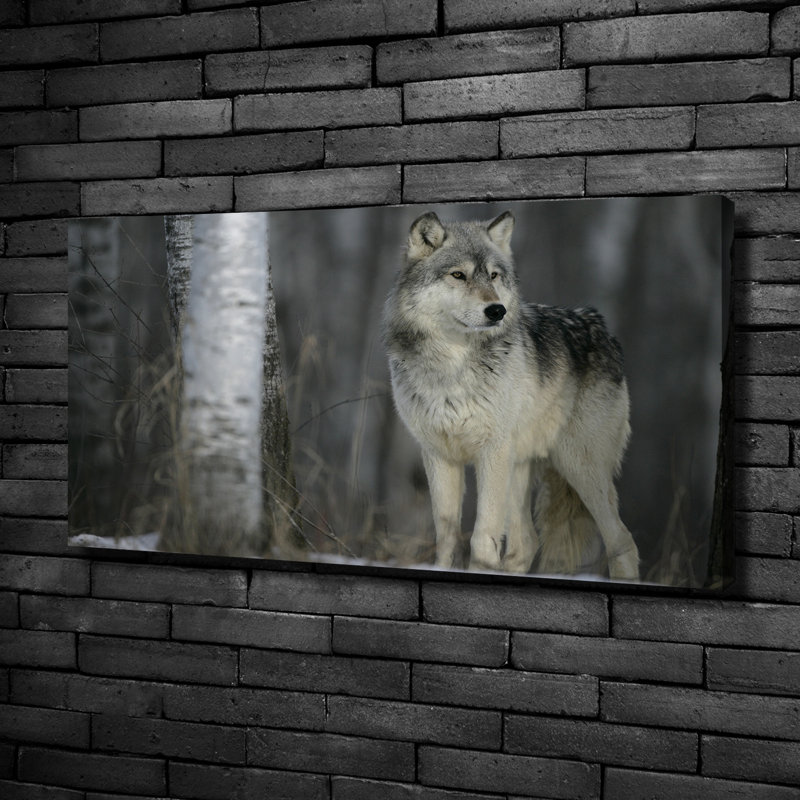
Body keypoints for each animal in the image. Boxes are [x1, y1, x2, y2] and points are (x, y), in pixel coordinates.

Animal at [383, 210, 639, 580]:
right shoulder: (439, 455)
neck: (453, 365)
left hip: (579, 466)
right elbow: (447, 536)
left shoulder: (492, 452)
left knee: (622, 540)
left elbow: (482, 535)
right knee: (526, 543)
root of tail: (601, 326)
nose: (497, 310)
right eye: (458, 275)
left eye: (493, 275)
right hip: (520, 467)